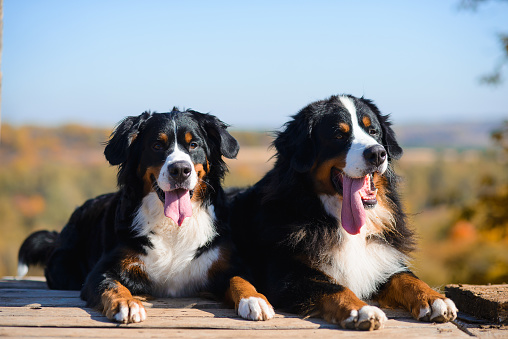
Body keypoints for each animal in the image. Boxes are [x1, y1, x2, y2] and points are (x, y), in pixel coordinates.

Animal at [17, 109, 274, 324]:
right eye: (157, 145)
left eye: (194, 145)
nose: (180, 170)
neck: (173, 227)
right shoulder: (101, 270)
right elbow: (112, 285)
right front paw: (127, 304)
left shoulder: (227, 264)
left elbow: (240, 280)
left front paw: (254, 300)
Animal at [228, 95, 458, 332]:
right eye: (338, 135)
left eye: (373, 131)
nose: (377, 153)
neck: (338, 216)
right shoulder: (286, 275)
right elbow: (334, 288)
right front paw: (360, 310)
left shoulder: (382, 258)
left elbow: (406, 277)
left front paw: (433, 298)